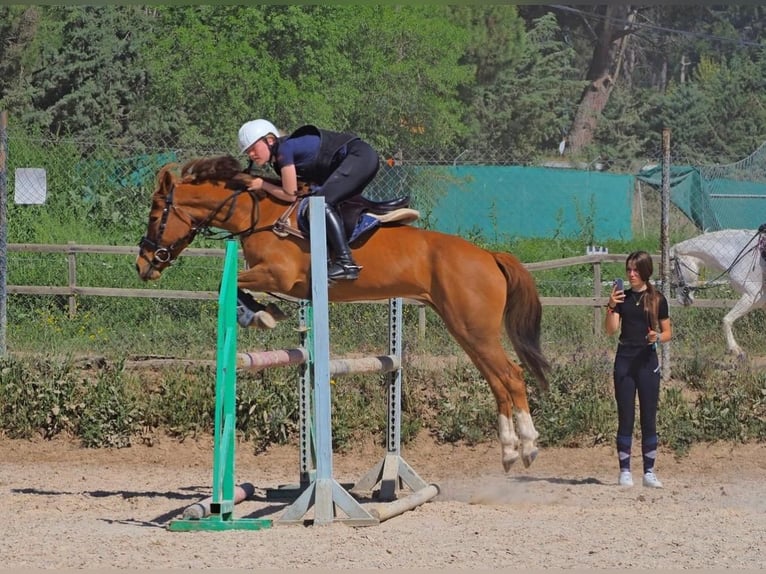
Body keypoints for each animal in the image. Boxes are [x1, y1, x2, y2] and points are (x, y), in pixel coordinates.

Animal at [135, 155, 548, 470]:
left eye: (155, 215)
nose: (142, 265)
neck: (257, 213)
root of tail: (489, 256)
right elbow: (239, 287)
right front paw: (262, 313)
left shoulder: (279, 274)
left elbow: (231, 282)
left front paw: (259, 314)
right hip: (465, 330)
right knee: (497, 381)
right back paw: (509, 451)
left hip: (474, 329)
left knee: (511, 376)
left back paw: (527, 446)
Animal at [672, 230, 766, 360]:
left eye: (673, 270)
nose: (681, 300)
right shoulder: (760, 301)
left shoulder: (752, 297)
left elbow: (726, 320)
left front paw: (735, 349)